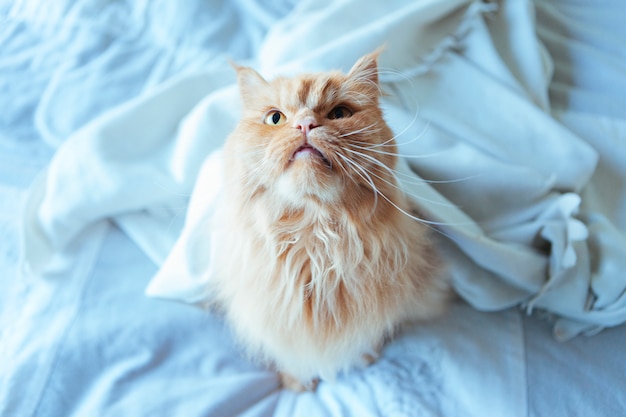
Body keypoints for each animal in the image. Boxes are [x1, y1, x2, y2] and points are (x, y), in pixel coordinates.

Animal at [208, 51, 448, 390]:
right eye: (275, 119)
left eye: (339, 113)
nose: (305, 124)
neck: (316, 244)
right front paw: (297, 382)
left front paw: (365, 356)